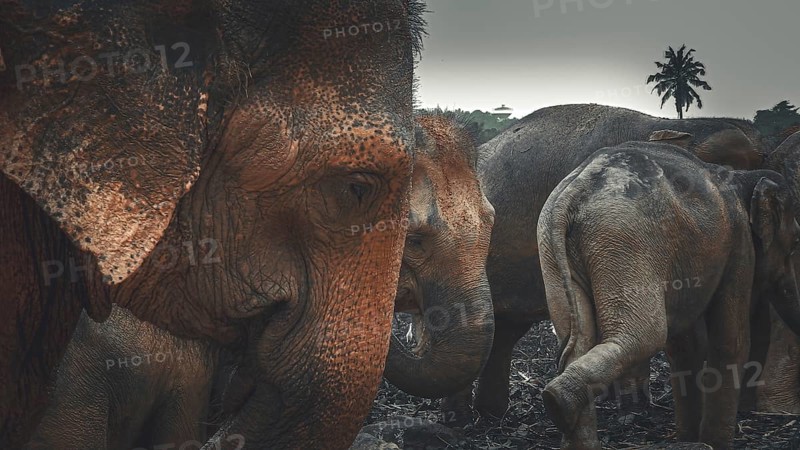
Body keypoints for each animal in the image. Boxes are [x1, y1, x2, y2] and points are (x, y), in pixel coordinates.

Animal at [537, 142, 800, 449]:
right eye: (796, 242)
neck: (742, 178)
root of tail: (572, 192)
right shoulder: (740, 245)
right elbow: (729, 341)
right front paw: (712, 443)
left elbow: (687, 346)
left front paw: (688, 437)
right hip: (623, 242)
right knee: (644, 335)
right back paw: (558, 400)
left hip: (552, 250)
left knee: (577, 343)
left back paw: (562, 411)